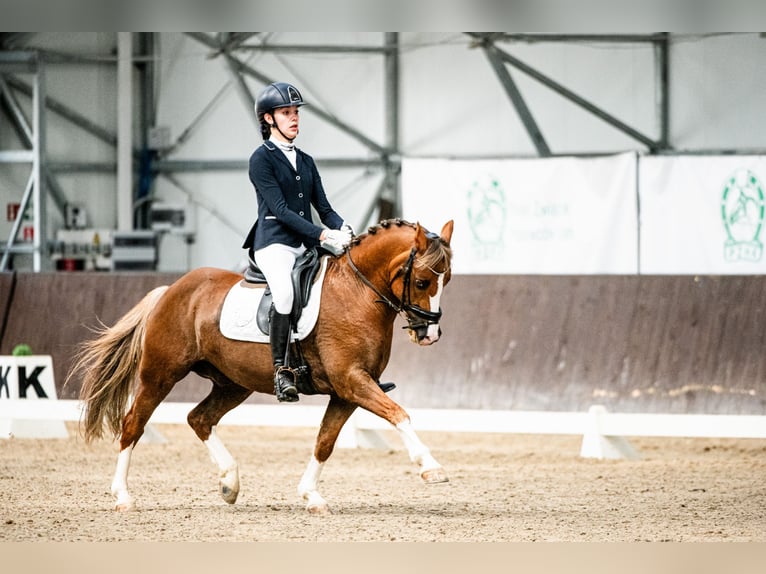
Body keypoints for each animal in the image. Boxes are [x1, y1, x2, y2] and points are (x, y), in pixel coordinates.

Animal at [70, 220, 452, 516]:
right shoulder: (352, 381)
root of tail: (171, 290)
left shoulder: (347, 392)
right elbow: (399, 414)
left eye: (446, 281)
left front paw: (311, 497)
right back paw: (123, 497)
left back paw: (229, 483)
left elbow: (324, 442)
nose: (429, 334)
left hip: (234, 383)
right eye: (421, 282)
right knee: (133, 424)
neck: (355, 291)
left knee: (199, 418)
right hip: (159, 374)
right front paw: (431, 468)